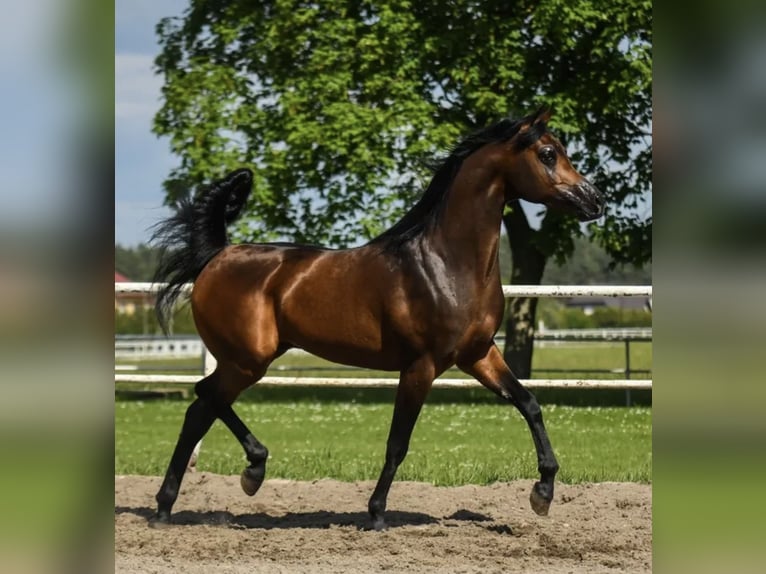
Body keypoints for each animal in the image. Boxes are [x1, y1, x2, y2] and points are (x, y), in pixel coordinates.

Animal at [149, 107, 604, 531]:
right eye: (548, 154)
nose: (594, 200)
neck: (447, 262)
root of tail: (218, 255)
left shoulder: (478, 354)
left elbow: (530, 403)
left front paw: (543, 492)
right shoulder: (422, 365)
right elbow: (397, 442)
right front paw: (377, 513)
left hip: (249, 358)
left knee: (202, 404)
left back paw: (217, 485)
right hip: (247, 360)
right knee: (203, 402)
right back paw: (197, 494)